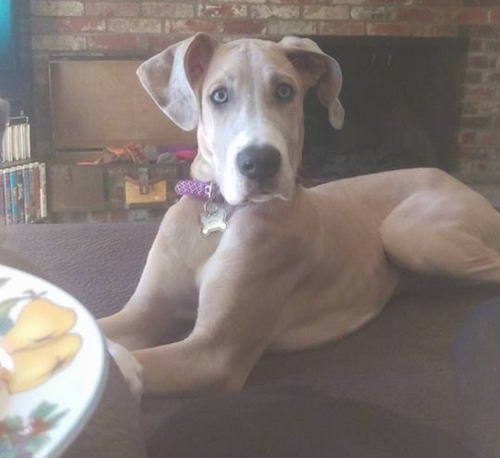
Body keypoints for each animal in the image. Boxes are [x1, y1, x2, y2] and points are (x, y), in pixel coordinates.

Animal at [99, 33, 500, 398]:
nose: (259, 162)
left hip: (410, 235)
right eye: (219, 95)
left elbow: (131, 359)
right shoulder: (143, 313)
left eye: (284, 91)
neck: (221, 213)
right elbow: (103, 326)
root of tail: (450, 177)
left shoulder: (214, 352)